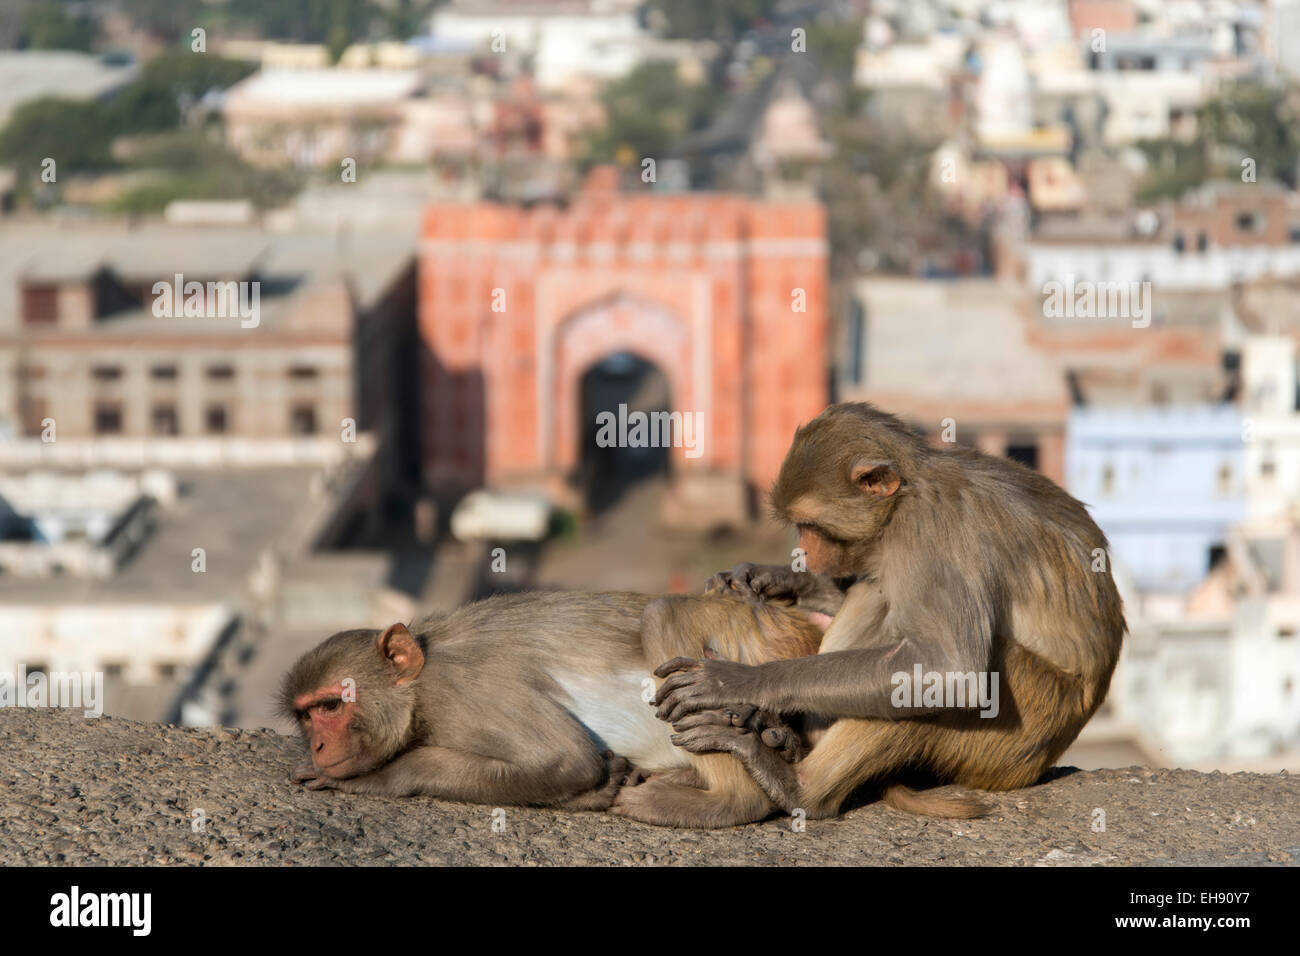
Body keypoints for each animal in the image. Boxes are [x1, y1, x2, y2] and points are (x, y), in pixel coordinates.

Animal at [288, 587, 826, 827]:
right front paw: (601, 788)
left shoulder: (466, 691)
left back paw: (724, 798)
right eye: (305, 715)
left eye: (333, 705)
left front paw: (378, 778)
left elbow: (567, 761)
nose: (317, 745)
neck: (419, 687)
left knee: (663, 617)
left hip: (753, 636)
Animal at [655, 400, 1133, 816]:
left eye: (811, 526)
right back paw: (783, 735)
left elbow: (949, 672)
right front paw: (770, 579)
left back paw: (798, 786)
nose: (804, 553)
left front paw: (737, 682)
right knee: (874, 592)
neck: (909, 491)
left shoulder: (931, 531)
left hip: (1021, 728)